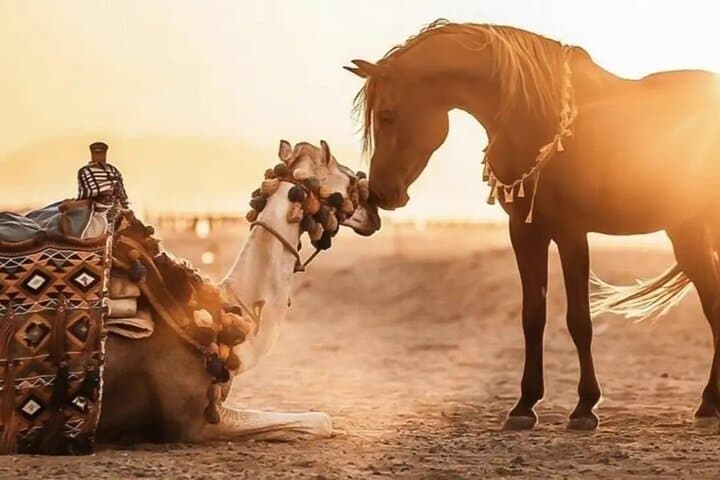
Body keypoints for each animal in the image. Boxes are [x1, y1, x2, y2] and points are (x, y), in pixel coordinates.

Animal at [342, 19, 720, 430]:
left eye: (388, 115)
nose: (380, 192)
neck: (536, 116)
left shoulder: (572, 234)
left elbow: (579, 320)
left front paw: (585, 407)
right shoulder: (525, 233)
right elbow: (532, 317)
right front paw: (525, 404)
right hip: (687, 232)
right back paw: (708, 404)